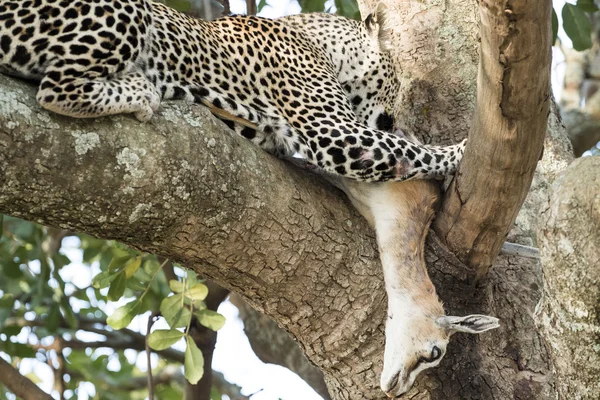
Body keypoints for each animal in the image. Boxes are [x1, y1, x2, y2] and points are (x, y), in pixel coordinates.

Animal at [0, 0, 466, 182]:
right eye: (398, 79)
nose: (400, 113)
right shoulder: (335, 132)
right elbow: (415, 152)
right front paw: (463, 149)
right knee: (55, 89)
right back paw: (141, 90)